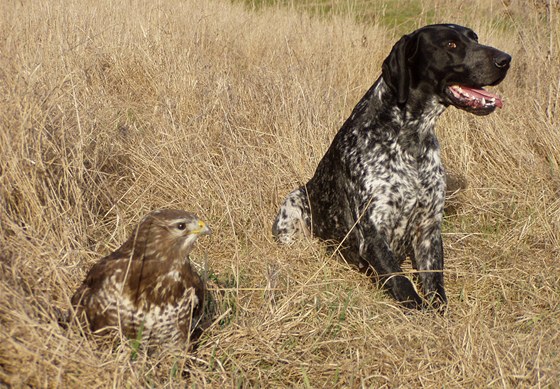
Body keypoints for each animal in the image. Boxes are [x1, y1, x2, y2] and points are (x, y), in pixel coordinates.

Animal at [272, 24, 512, 310]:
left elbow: (436, 288)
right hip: (293, 203)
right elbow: (403, 284)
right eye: (451, 45)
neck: (411, 140)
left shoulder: (429, 230)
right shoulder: (374, 233)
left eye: (474, 38)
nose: (505, 59)